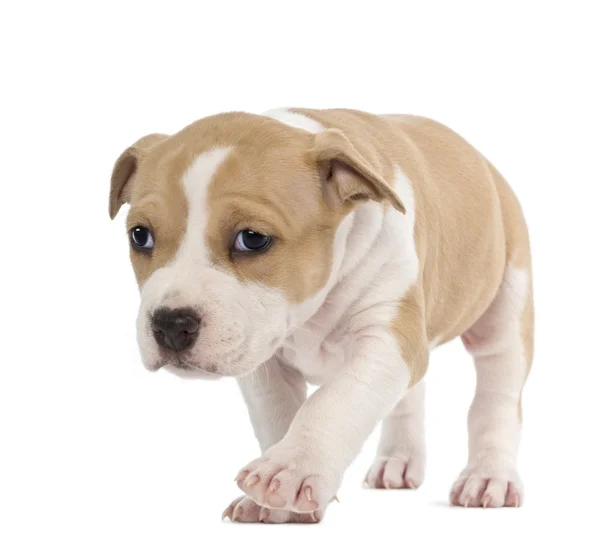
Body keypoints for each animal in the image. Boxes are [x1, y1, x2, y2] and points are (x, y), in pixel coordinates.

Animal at [109, 107, 536, 524]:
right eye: (140, 236)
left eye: (253, 239)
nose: (170, 324)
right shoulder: (264, 361)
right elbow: (278, 415)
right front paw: (278, 501)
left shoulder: (384, 338)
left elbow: (334, 402)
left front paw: (290, 471)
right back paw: (398, 460)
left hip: (506, 306)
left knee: (495, 397)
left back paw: (488, 476)